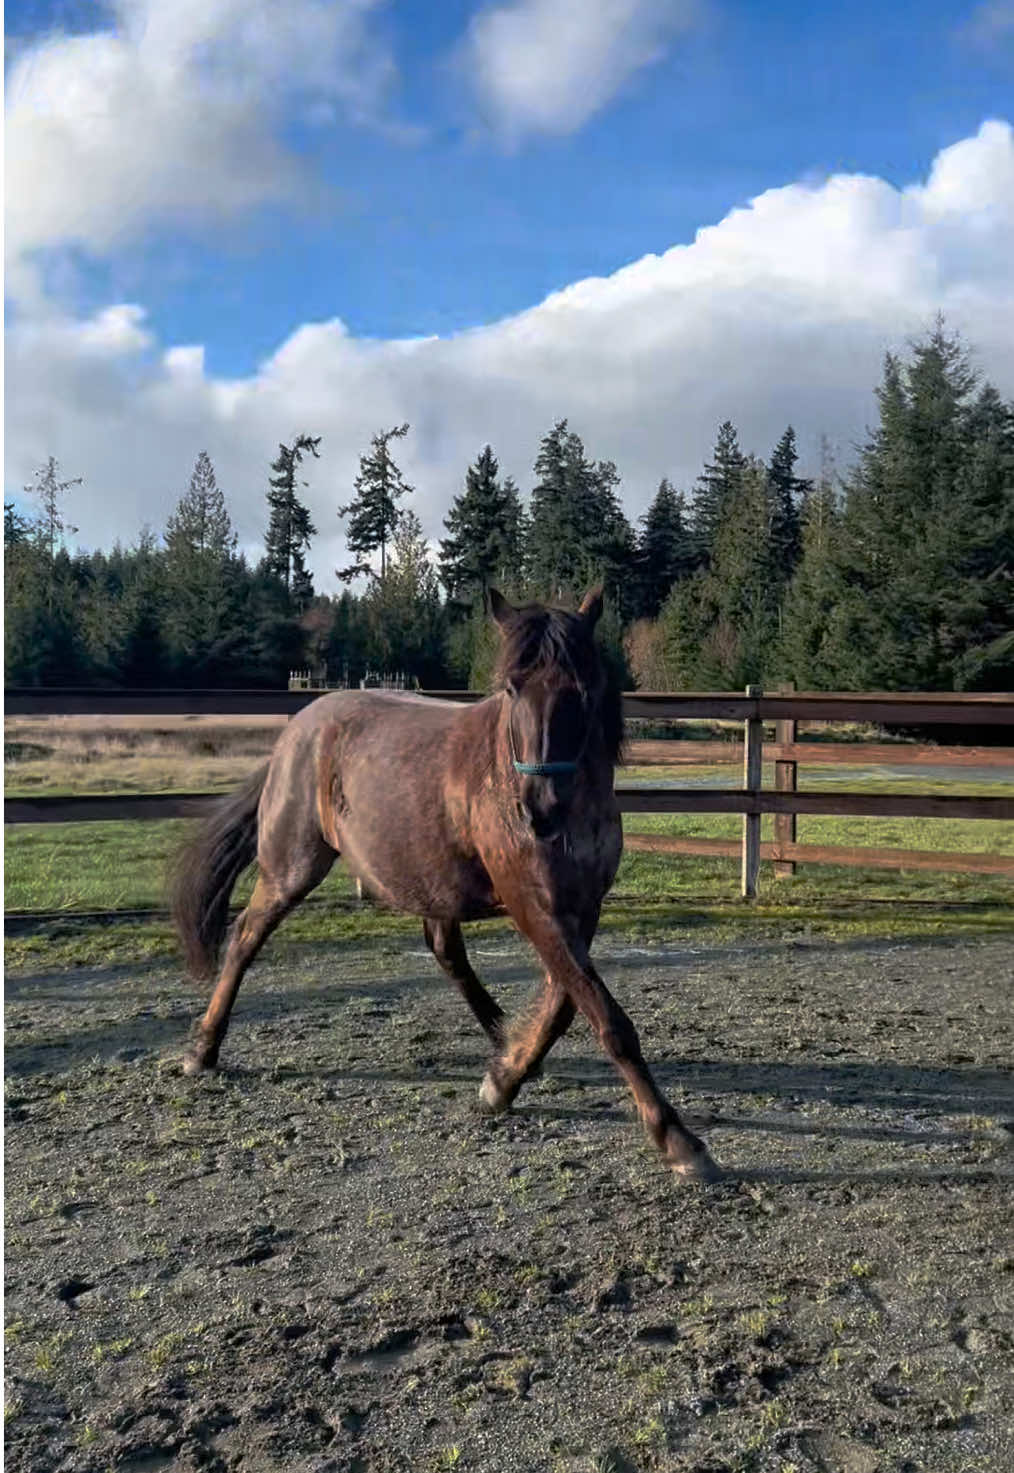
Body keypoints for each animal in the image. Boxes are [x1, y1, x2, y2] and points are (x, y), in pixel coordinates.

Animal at [172, 588, 720, 1182]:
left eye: (581, 688)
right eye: (512, 687)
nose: (538, 812)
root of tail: (297, 730)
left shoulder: (583, 905)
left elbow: (565, 1003)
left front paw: (505, 1077)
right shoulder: (534, 904)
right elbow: (603, 1015)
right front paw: (679, 1140)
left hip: (428, 878)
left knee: (444, 951)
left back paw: (502, 1038)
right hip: (290, 868)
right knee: (245, 937)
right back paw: (202, 1049)